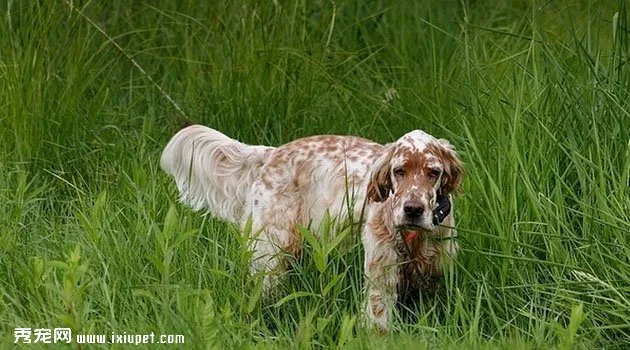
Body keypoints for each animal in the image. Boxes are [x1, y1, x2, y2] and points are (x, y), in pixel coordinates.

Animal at [159, 124, 464, 332]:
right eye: (399, 171)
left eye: (433, 172)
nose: (413, 209)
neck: (415, 236)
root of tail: (272, 153)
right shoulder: (382, 273)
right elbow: (378, 318)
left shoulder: (434, 273)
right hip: (272, 248)